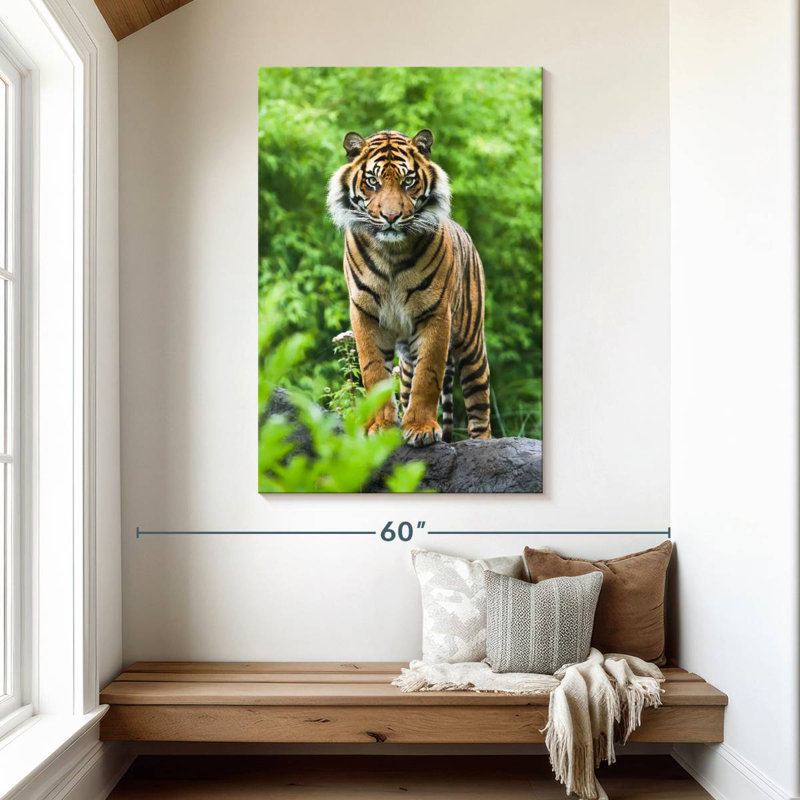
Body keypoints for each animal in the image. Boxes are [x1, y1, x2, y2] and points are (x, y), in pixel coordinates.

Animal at [326, 128, 491, 447]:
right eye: (373, 181)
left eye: (408, 181)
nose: (391, 217)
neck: (391, 252)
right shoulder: (364, 313)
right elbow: (374, 372)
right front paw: (380, 426)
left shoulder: (435, 314)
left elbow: (429, 375)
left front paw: (422, 428)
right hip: (405, 361)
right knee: (405, 387)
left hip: (472, 346)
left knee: (480, 409)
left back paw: (483, 444)